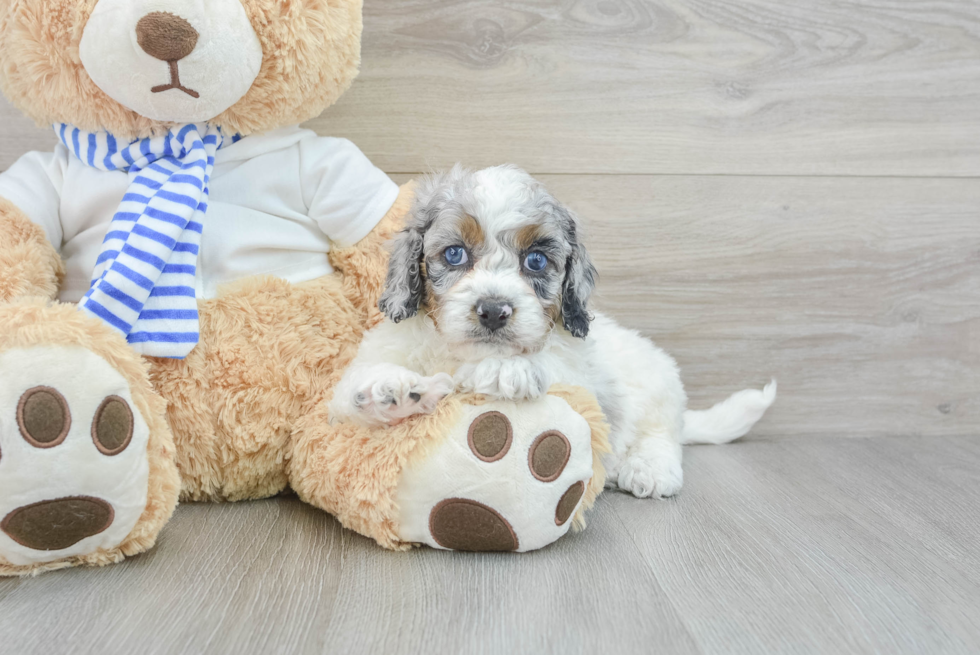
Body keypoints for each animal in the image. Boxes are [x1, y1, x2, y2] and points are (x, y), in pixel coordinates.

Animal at [330, 164, 772, 498]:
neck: (460, 355)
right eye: (455, 254)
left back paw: (647, 468)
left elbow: (549, 370)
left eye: (537, 261)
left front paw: (505, 369)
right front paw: (389, 389)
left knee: (662, 434)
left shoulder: (582, 377)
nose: (494, 311)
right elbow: (351, 393)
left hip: (658, 385)